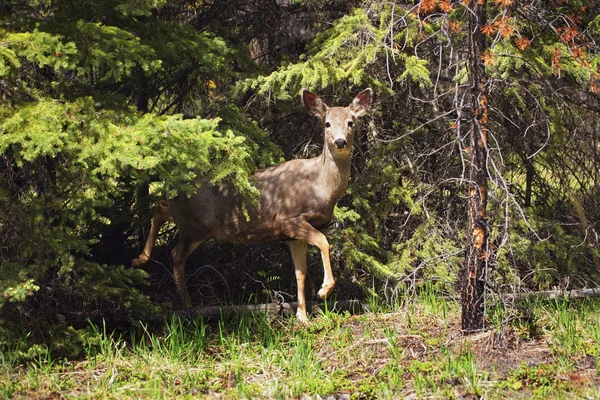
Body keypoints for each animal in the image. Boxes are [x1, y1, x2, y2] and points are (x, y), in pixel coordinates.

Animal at [134, 87, 372, 322]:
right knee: (176, 253)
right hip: (196, 227)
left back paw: (140, 259)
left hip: (188, 220)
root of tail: (173, 181)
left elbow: (300, 272)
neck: (320, 187)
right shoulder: (288, 219)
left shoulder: (292, 235)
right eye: (327, 123)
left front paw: (302, 316)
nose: (340, 142)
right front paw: (324, 290)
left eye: (351, 122)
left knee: (160, 208)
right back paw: (187, 304)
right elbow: (323, 242)